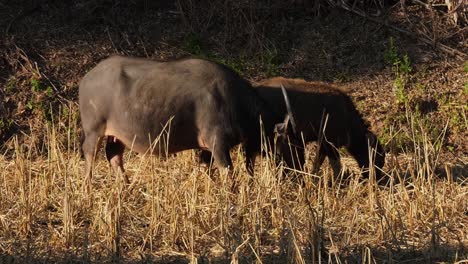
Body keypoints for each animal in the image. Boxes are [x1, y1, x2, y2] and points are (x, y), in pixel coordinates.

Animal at [78, 55, 304, 186]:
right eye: (291, 143)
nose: (300, 168)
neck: (234, 101)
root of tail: (87, 78)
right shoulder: (218, 144)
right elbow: (228, 174)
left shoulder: (206, 149)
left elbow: (207, 170)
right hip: (94, 131)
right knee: (89, 155)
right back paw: (87, 187)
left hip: (117, 135)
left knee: (114, 156)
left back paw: (126, 185)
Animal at [199, 75, 386, 180]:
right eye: (376, 155)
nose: (377, 178)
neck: (348, 118)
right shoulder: (329, 144)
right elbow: (333, 165)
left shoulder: (323, 145)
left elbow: (319, 162)